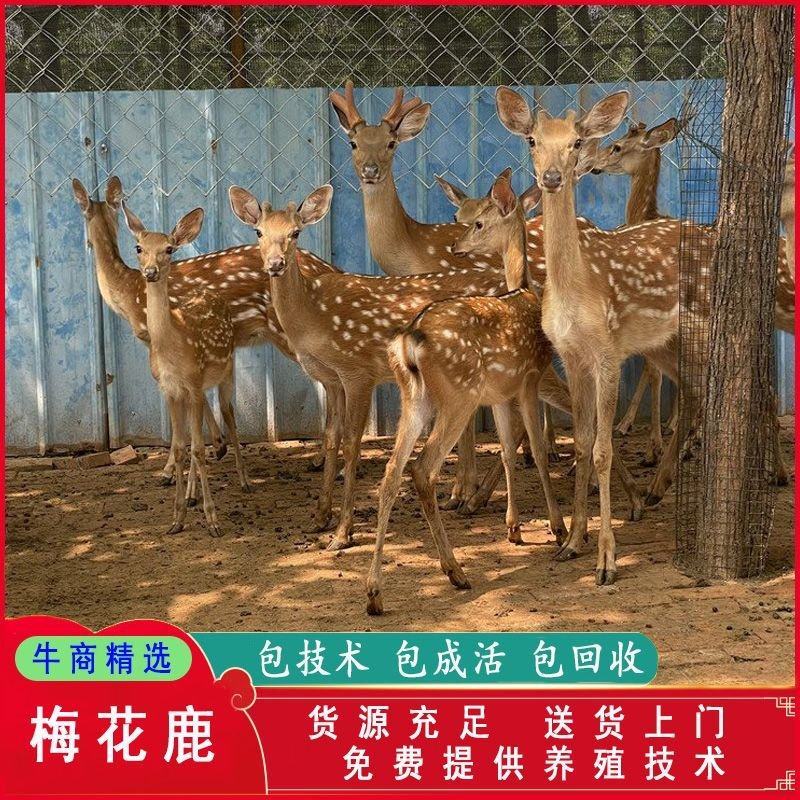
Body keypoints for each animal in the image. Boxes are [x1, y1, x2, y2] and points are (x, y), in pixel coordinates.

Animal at [121, 202, 247, 537]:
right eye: (138, 247)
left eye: (169, 248)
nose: (150, 272)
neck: (172, 350)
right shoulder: (170, 389)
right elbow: (179, 448)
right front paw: (176, 519)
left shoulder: (193, 382)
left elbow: (199, 449)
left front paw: (213, 521)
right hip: (200, 389)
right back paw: (191, 496)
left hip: (226, 371)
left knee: (229, 415)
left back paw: (244, 480)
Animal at [228, 182, 576, 552]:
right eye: (258, 231)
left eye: (295, 232)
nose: (275, 264)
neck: (312, 318)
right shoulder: (330, 379)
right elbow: (331, 438)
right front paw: (319, 517)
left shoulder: (357, 370)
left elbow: (352, 444)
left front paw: (342, 532)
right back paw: (479, 502)